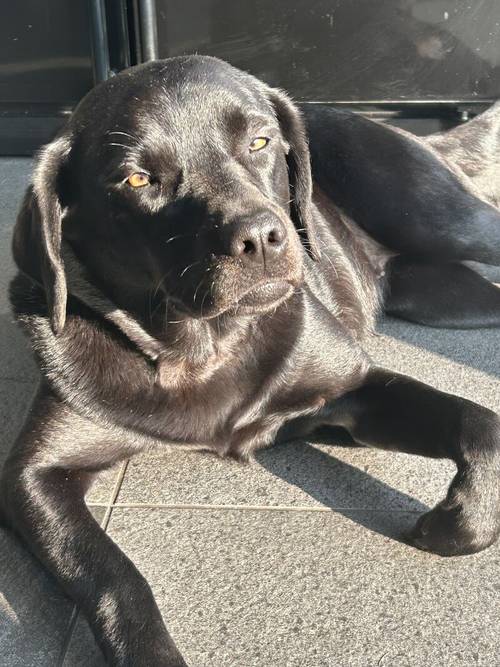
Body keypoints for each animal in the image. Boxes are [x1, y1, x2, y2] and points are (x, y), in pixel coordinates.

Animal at [2, 54, 500, 664]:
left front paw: (457, 524)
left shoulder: (352, 385)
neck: (206, 348)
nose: (261, 238)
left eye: (260, 142)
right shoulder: (34, 475)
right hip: (448, 298)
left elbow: (478, 422)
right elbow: (116, 578)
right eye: (137, 178)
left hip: (442, 221)